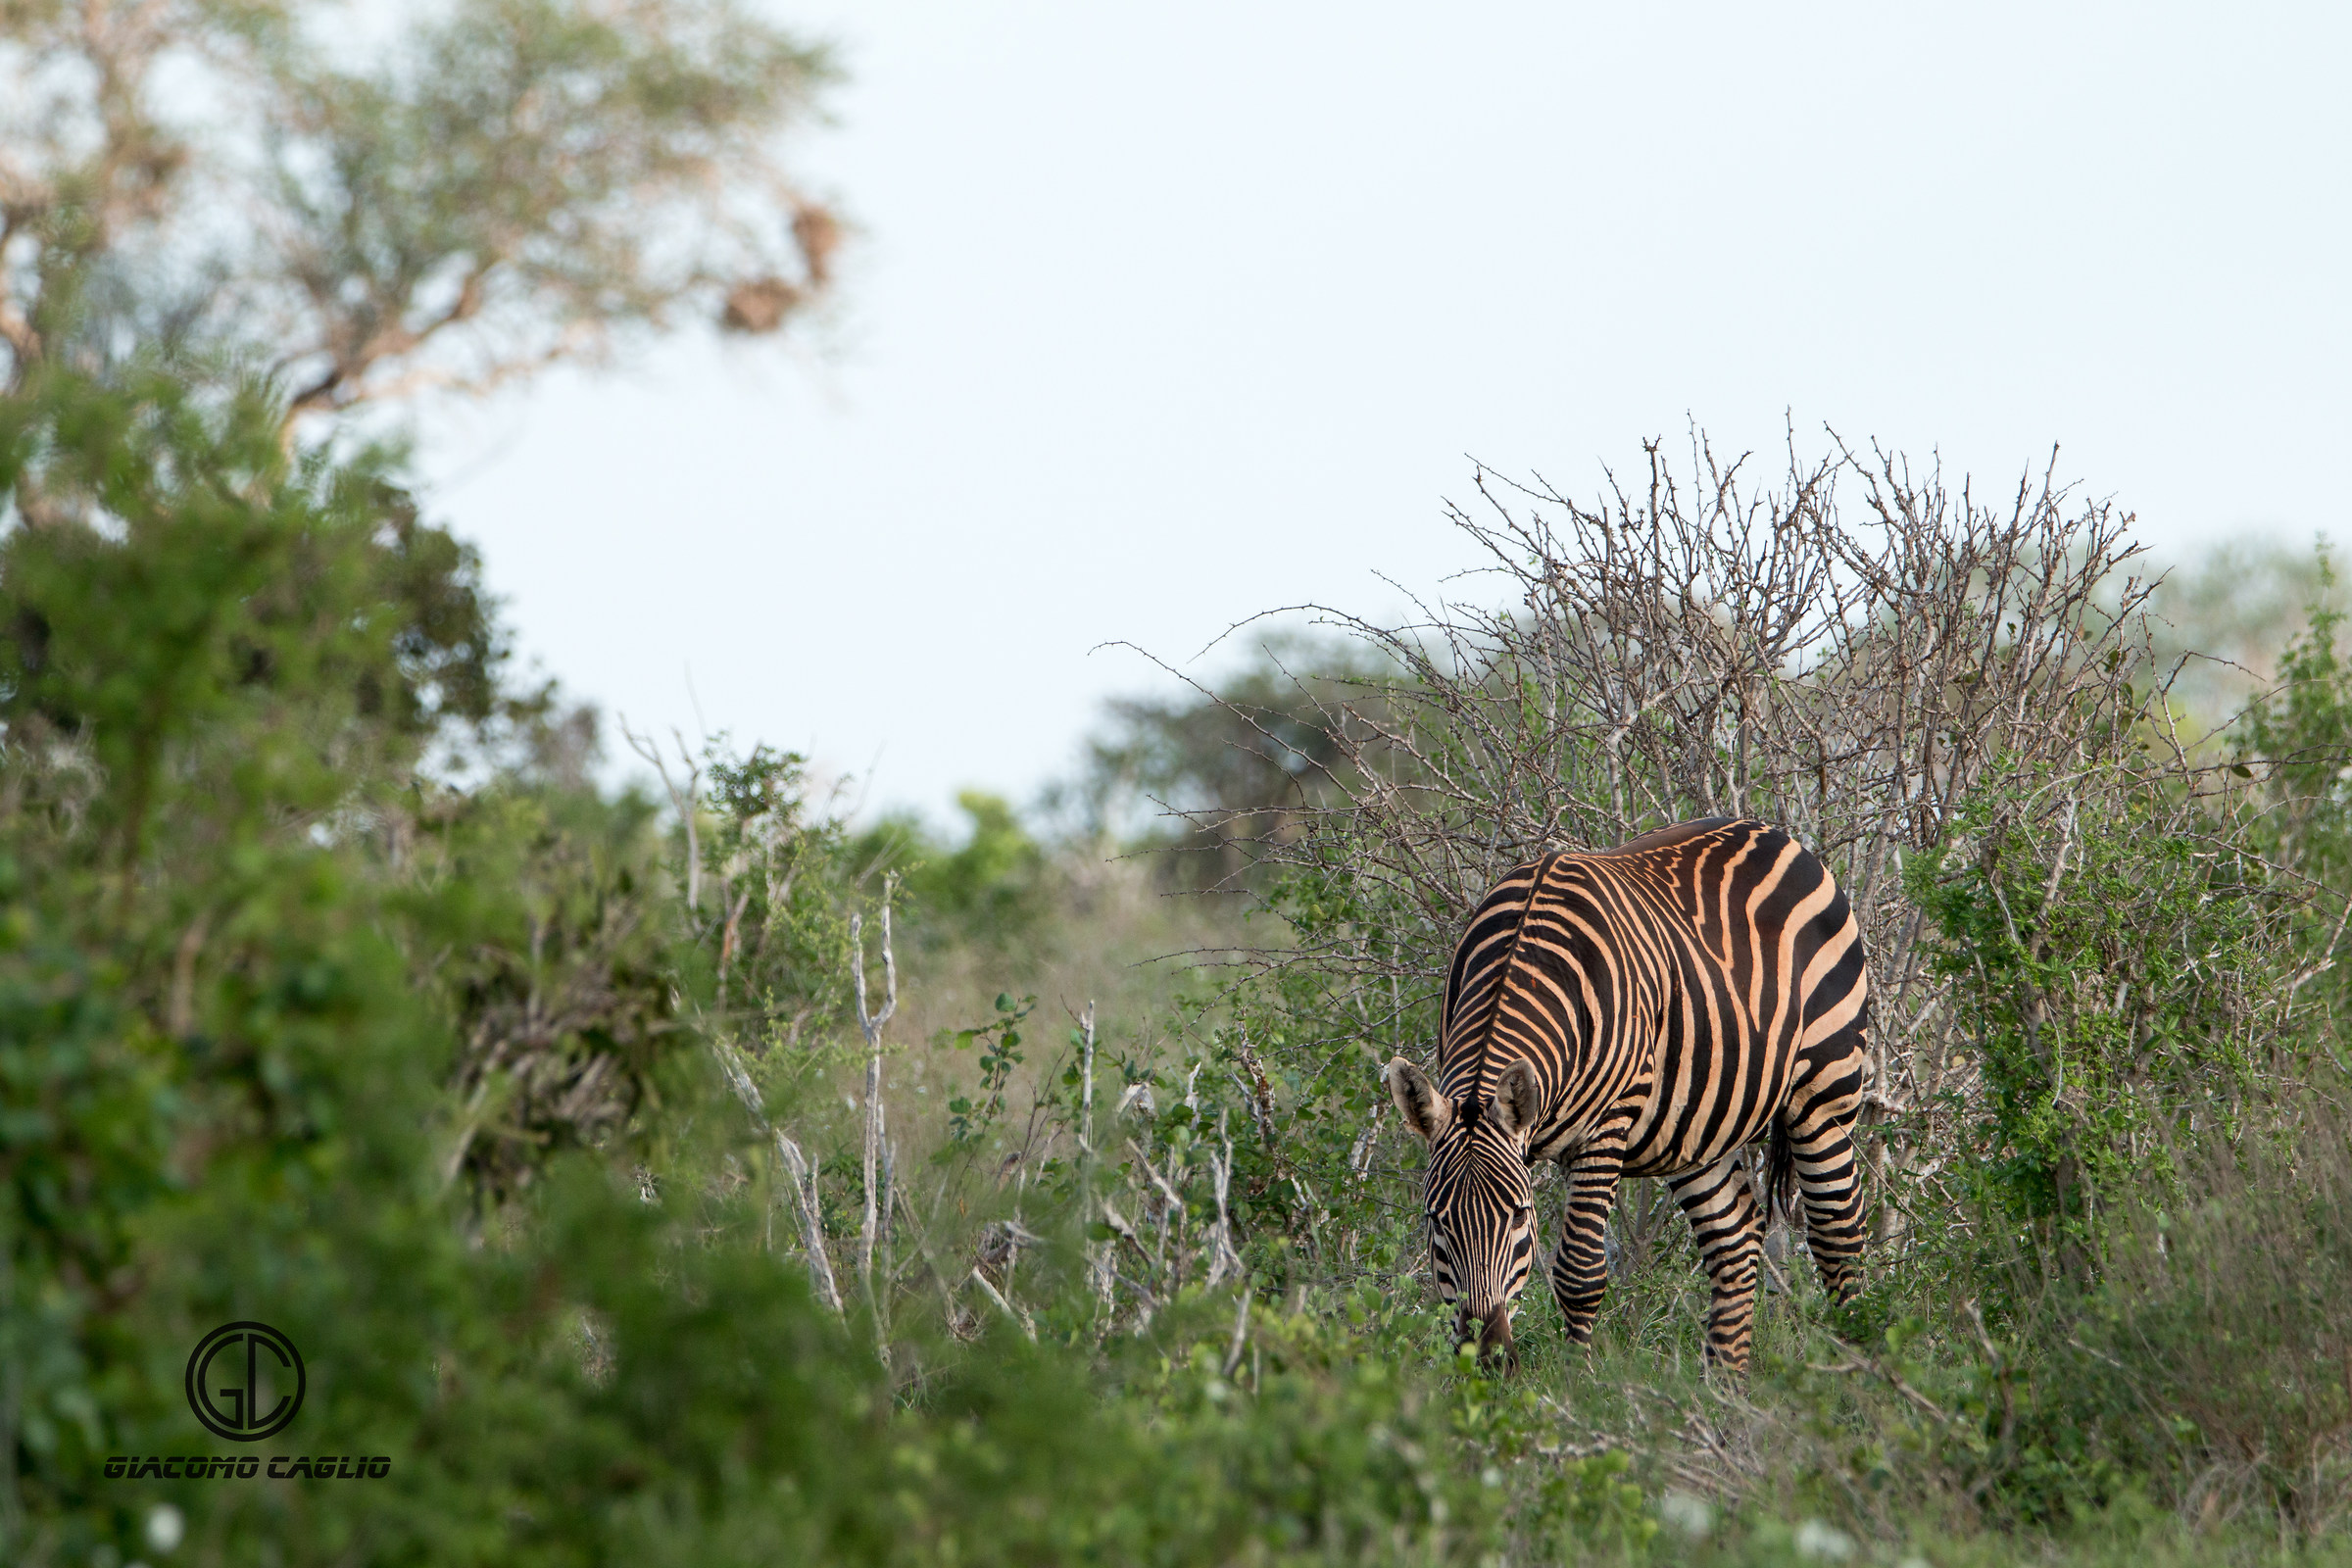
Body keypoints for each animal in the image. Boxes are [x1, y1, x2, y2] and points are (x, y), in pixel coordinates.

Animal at [1383, 816, 1871, 1375]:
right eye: (1435, 1221)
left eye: (1519, 1216)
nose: (1487, 1359)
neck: (1520, 958)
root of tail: (1774, 832)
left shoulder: (1605, 1127)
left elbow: (1579, 1273)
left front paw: (1577, 1385)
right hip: (1695, 1125)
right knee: (1736, 1238)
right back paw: (1723, 1386)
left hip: (1826, 1090)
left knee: (1838, 1235)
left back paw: (1862, 1374)